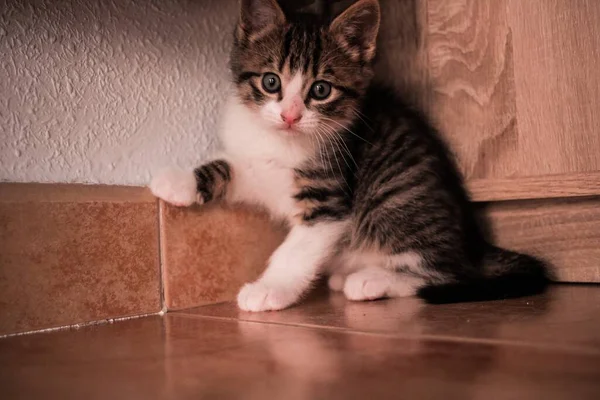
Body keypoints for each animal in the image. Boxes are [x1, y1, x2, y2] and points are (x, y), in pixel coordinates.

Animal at [150, 0, 548, 312]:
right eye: (270, 81)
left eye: (321, 90)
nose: (290, 116)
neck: (282, 141)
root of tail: (473, 243)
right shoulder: (256, 164)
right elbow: (229, 167)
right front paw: (178, 182)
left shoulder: (329, 201)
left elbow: (296, 250)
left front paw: (269, 290)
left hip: (395, 203)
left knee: (446, 271)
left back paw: (371, 281)